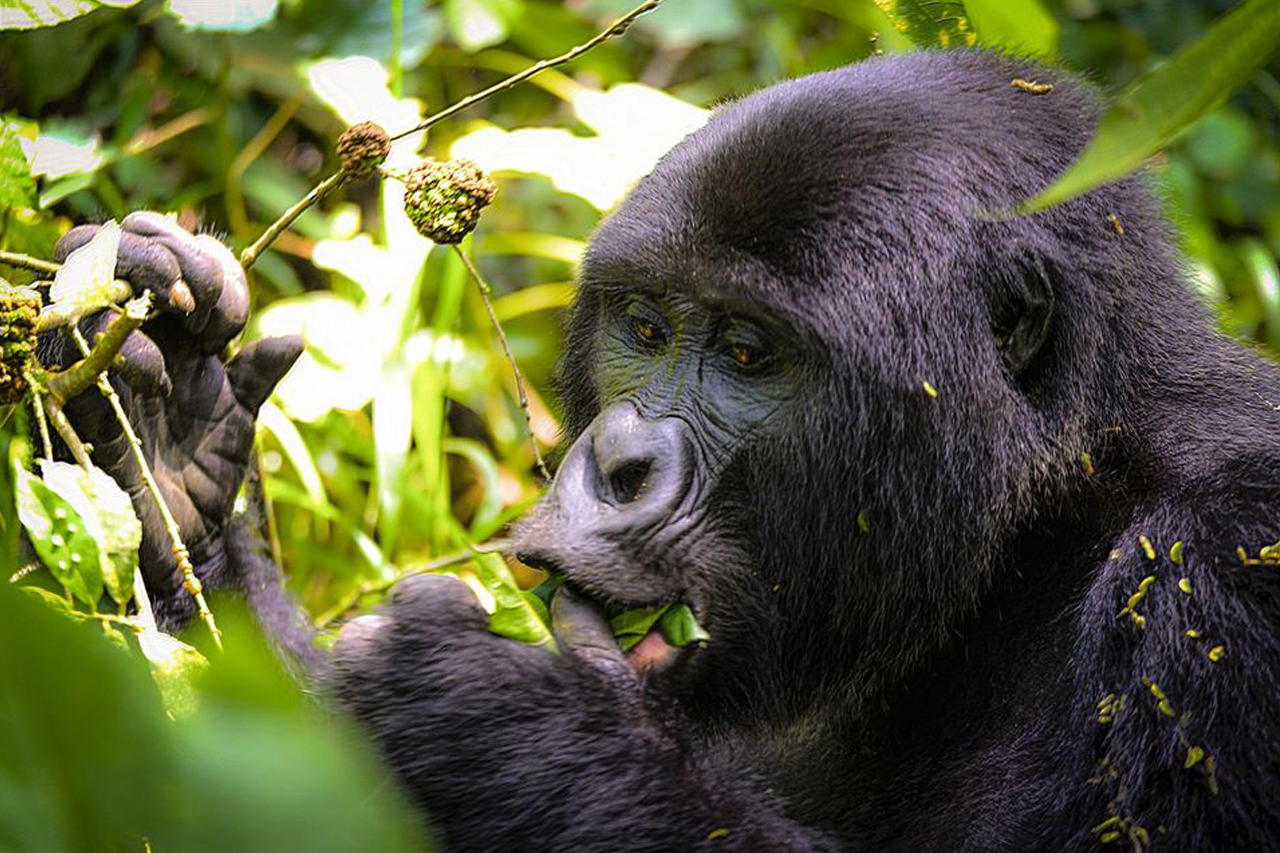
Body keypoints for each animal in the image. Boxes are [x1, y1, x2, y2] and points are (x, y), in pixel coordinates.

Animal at [45, 49, 1280, 845]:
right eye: (643, 328)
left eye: (745, 350)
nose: (615, 466)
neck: (1043, 515)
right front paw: (172, 451)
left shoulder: (1227, 563)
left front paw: (504, 723)